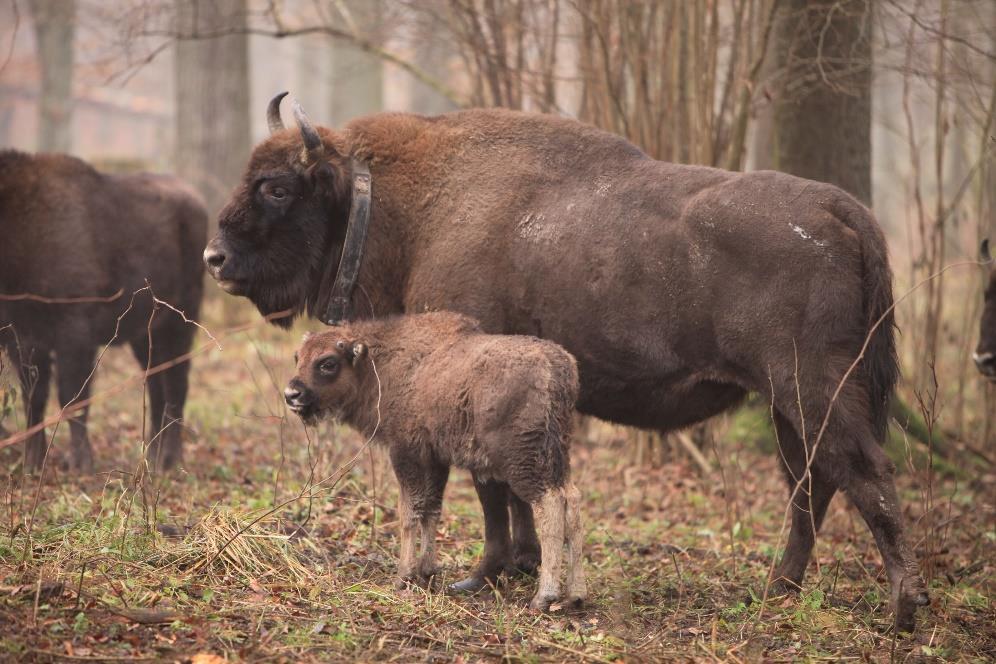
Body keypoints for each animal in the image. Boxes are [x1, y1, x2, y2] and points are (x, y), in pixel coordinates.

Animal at [1, 150, 208, 472]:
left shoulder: (73, 334)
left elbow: (72, 397)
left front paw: (80, 463)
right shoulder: (22, 339)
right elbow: (33, 399)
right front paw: (32, 464)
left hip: (181, 320)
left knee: (176, 383)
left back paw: (168, 461)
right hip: (144, 335)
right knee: (156, 384)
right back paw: (152, 456)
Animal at [284, 314, 588, 608]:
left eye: (328, 363)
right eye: (298, 357)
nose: (292, 395)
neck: (379, 366)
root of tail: (558, 370)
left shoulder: (405, 454)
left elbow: (410, 512)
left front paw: (403, 576)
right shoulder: (435, 460)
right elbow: (431, 509)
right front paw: (426, 571)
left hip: (523, 461)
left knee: (549, 505)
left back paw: (544, 597)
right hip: (557, 457)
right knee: (571, 501)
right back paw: (575, 594)